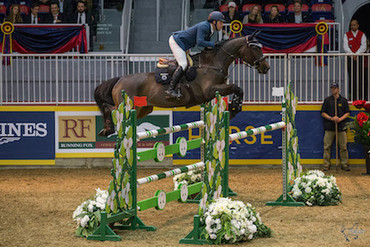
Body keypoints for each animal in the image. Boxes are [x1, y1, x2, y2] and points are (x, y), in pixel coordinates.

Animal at [95, 31, 268, 137]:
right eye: (254, 48)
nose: (266, 67)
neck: (212, 64)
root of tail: (120, 79)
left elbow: (238, 89)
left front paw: (235, 107)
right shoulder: (210, 91)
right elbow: (236, 88)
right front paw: (235, 107)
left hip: (143, 108)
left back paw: (107, 129)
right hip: (128, 106)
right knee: (110, 109)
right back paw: (107, 128)